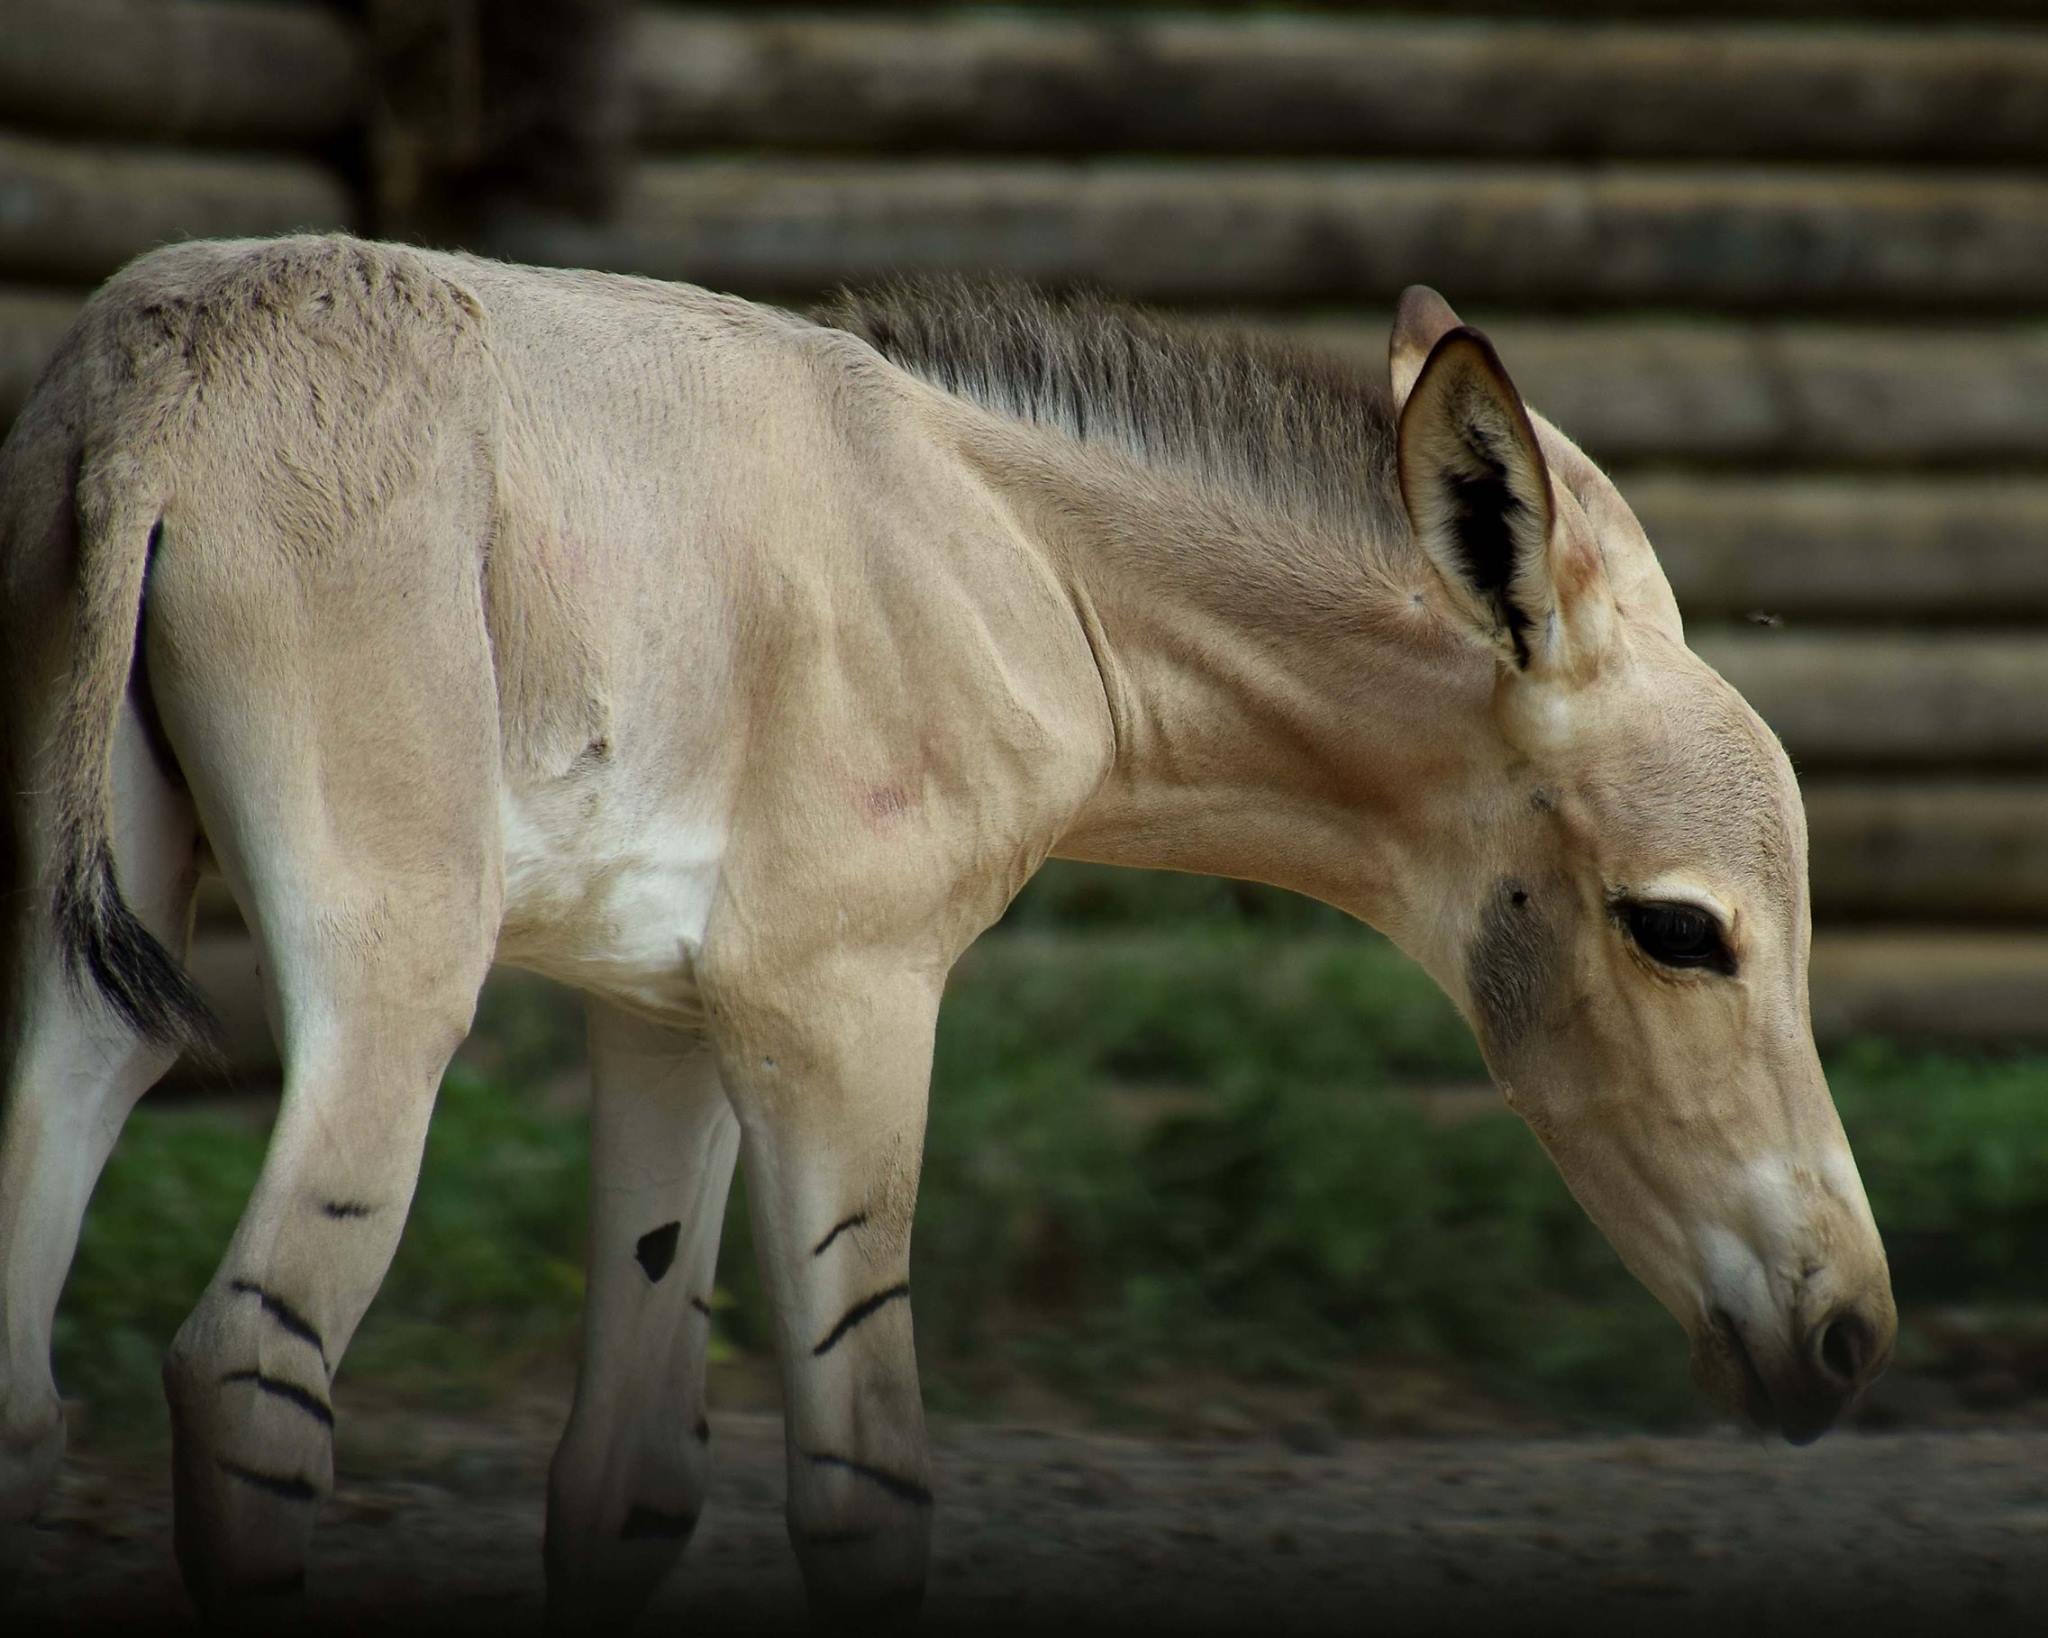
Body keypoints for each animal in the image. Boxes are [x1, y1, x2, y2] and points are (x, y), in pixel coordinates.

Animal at [0, 236, 1884, 1621]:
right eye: (1678, 930)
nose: (1847, 1337)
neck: (1014, 569)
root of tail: (154, 380)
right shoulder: (841, 1003)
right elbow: (865, 1480)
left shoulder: (664, 1011)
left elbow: (628, 1482)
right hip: (393, 989)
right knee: (252, 1370)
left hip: (79, 974)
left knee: (27, 1380)